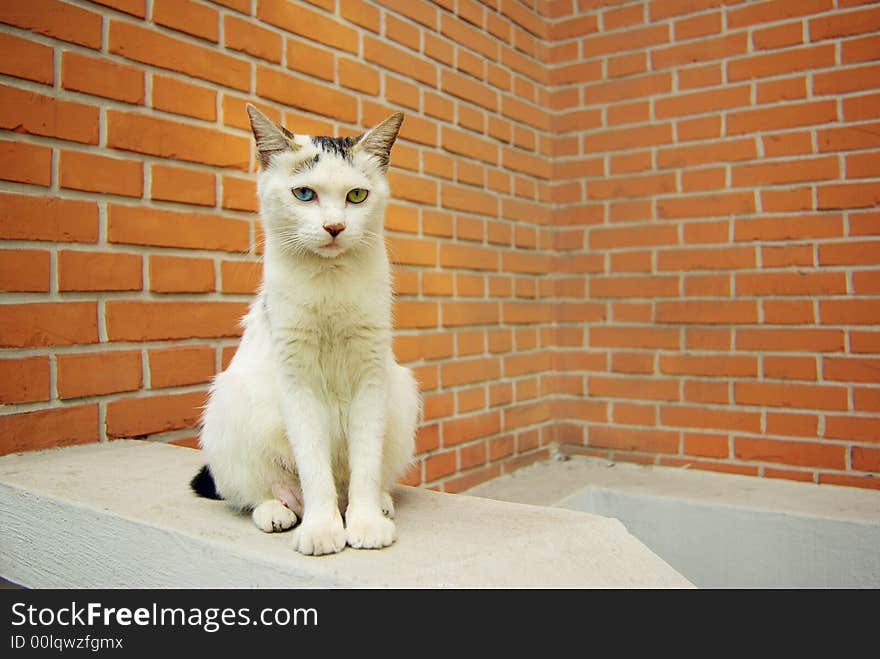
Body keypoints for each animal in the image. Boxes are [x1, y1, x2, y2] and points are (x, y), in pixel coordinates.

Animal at [194, 107, 422, 556]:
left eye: (357, 196)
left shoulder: (371, 374)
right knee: (252, 490)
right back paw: (276, 510)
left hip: (401, 393)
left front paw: (366, 523)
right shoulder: (296, 378)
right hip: (230, 403)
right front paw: (321, 529)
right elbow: (313, 466)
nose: (334, 227)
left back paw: (378, 504)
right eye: (304, 194)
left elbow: (366, 462)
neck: (328, 283)